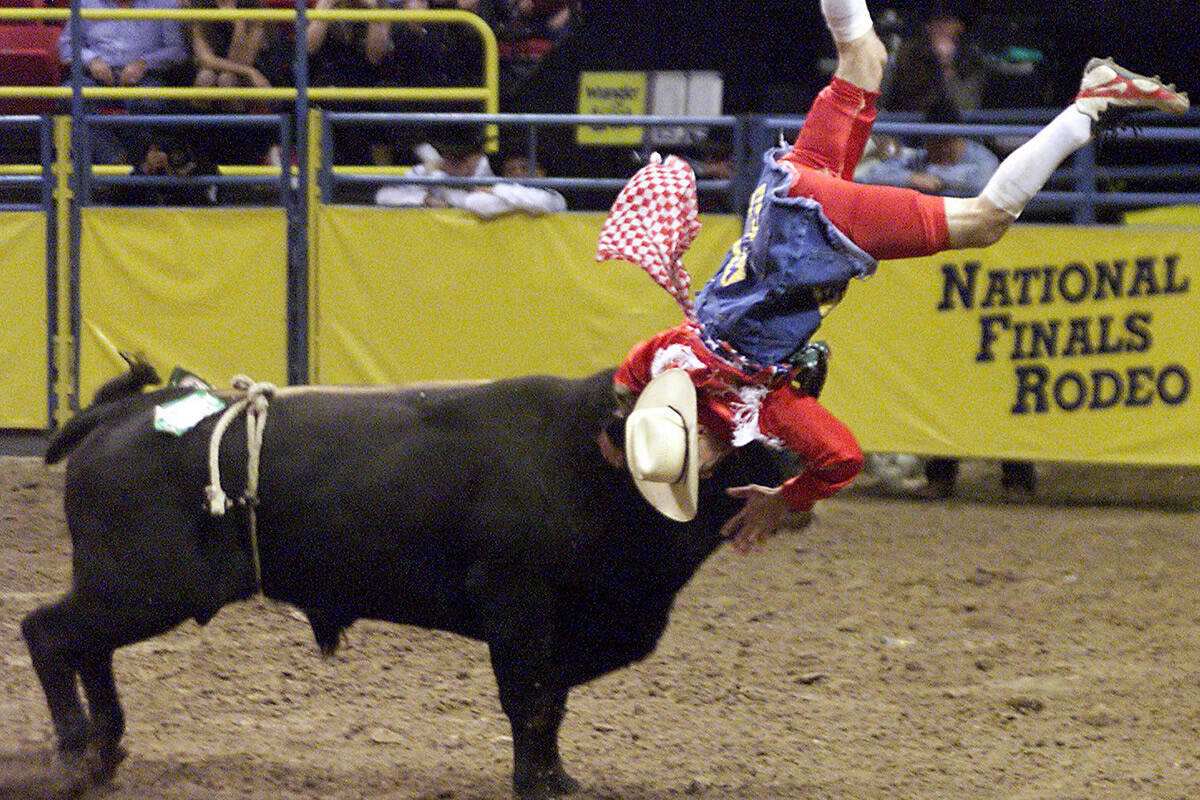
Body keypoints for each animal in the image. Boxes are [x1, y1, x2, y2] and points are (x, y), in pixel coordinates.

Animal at [23, 367, 782, 796]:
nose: (790, 473)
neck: (596, 461)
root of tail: (125, 412)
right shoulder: (519, 604)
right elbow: (532, 702)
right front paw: (537, 784)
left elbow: (552, 702)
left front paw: (558, 778)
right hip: (143, 587)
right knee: (48, 633)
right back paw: (76, 755)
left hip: (128, 591)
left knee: (85, 648)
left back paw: (105, 752)